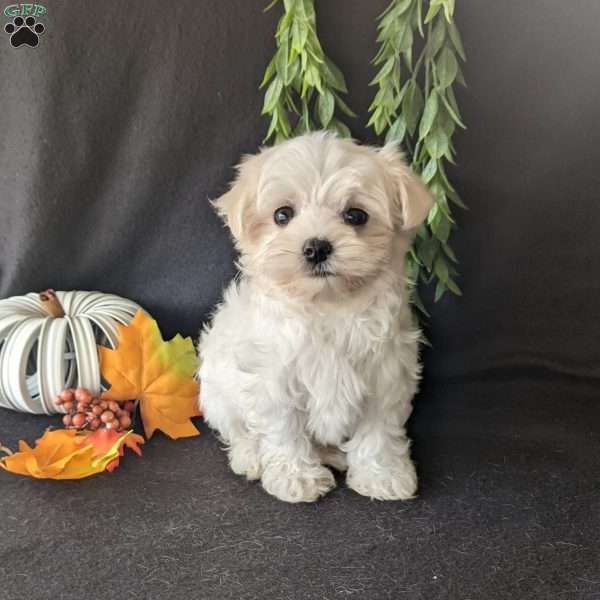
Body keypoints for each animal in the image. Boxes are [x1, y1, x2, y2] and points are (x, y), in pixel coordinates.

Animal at [200, 131, 432, 502]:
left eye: (356, 215)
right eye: (282, 215)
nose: (316, 247)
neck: (327, 306)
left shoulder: (385, 375)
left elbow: (379, 430)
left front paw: (382, 475)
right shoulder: (274, 380)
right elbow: (284, 430)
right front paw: (296, 478)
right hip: (218, 391)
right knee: (238, 430)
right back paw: (250, 456)